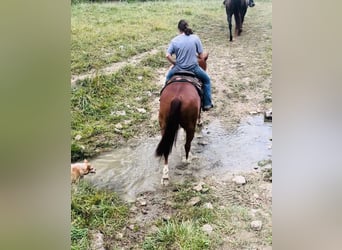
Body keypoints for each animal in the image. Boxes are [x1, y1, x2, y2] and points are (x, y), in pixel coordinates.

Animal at [156, 52, 208, 186]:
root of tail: (177, 98)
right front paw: (200, 122)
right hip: (190, 126)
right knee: (187, 145)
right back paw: (187, 159)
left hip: (164, 125)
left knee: (166, 148)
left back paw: (165, 176)